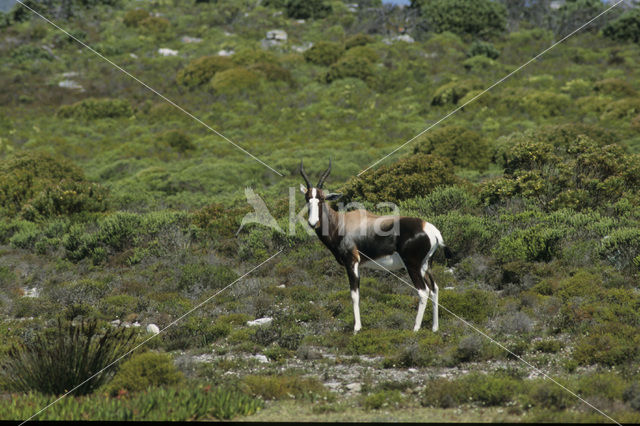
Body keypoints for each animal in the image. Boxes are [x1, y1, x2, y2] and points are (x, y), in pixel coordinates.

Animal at [298, 160, 450, 332]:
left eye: (322, 199)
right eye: (307, 198)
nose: (313, 223)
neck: (341, 223)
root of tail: (430, 229)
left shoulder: (351, 262)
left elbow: (354, 294)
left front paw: (357, 328)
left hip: (413, 266)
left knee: (423, 291)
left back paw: (415, 329)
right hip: (426, 265)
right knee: (435, 289)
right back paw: (435, 328)